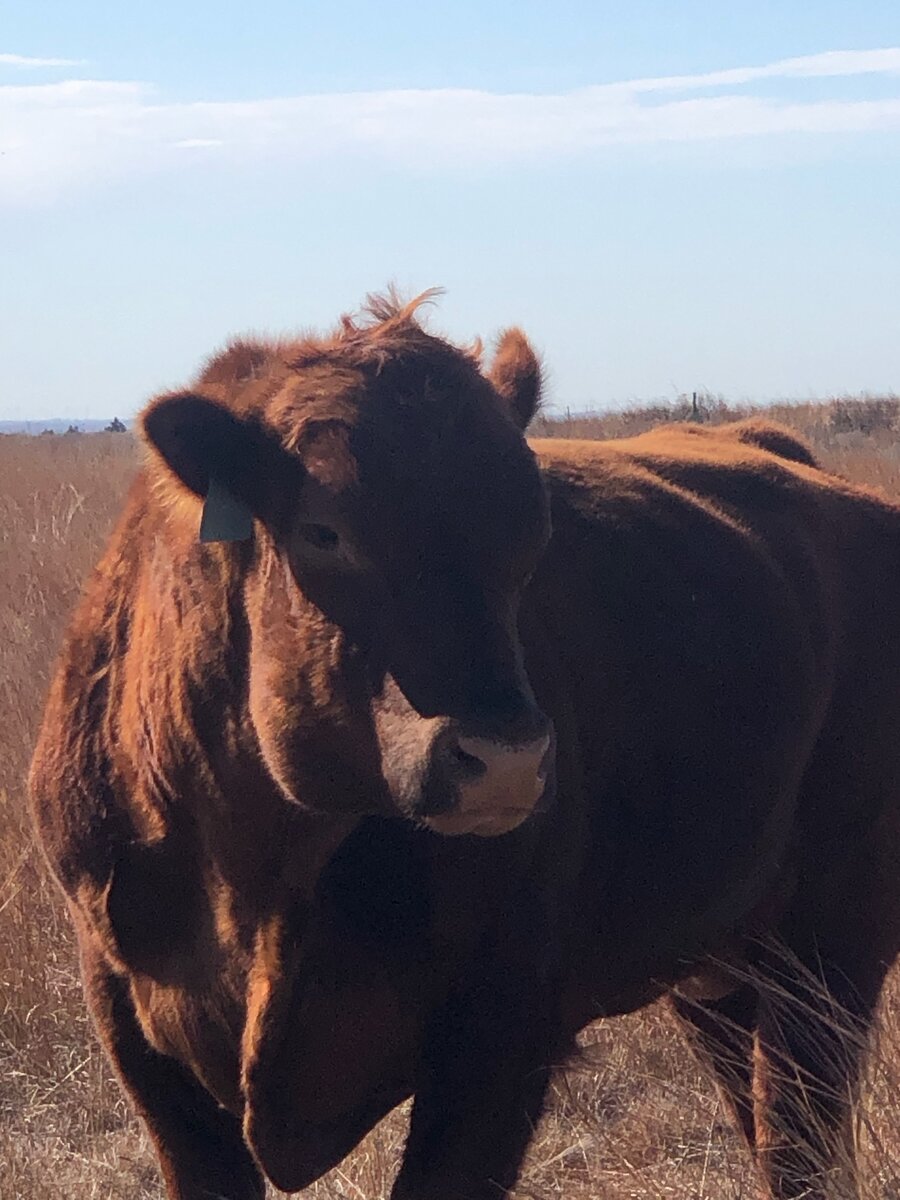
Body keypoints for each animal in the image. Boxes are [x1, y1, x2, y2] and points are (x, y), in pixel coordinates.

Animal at [29, 291, 900, 1200]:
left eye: (533, 529)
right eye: (323, 531)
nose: (504, 760)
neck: (256, 869)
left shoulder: (499, 1037)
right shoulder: (141, 1043)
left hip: (832, 940)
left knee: (799, 1144)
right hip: (722, 974)